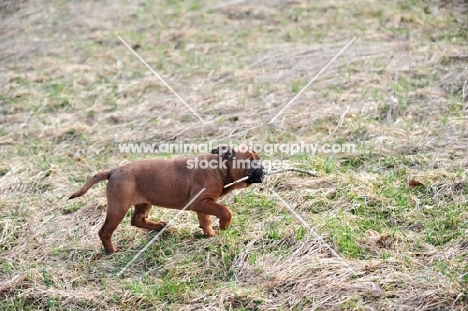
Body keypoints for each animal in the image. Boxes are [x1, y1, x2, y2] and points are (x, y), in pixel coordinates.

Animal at [69, 146, 264, 254]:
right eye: (250, 161)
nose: (263, 168)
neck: (220, 168)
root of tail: (114, 171)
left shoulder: (203, 203)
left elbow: (205, 219)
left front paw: (209, 234)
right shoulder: (201, 202)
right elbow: (225, 211)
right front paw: (224, 226)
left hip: (144, 202)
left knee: (137, 219)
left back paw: (160, 227)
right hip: (118, 207)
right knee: (105, 231)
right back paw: (112, 251)